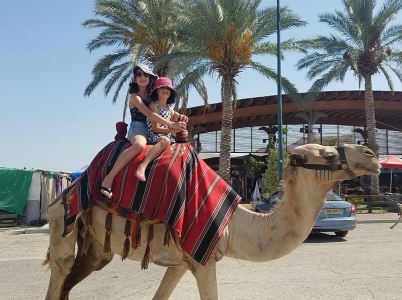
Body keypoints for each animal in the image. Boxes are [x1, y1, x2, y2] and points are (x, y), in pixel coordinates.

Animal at [44, 144, 380, 298]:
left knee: (73, 279)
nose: (370, 153)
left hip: (95, 246)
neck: (236, 226)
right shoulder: (203, 261)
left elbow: (160, 294)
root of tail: (67, 189)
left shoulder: (183, 262)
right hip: (63, 222)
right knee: (60, 270)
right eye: (325, 154)